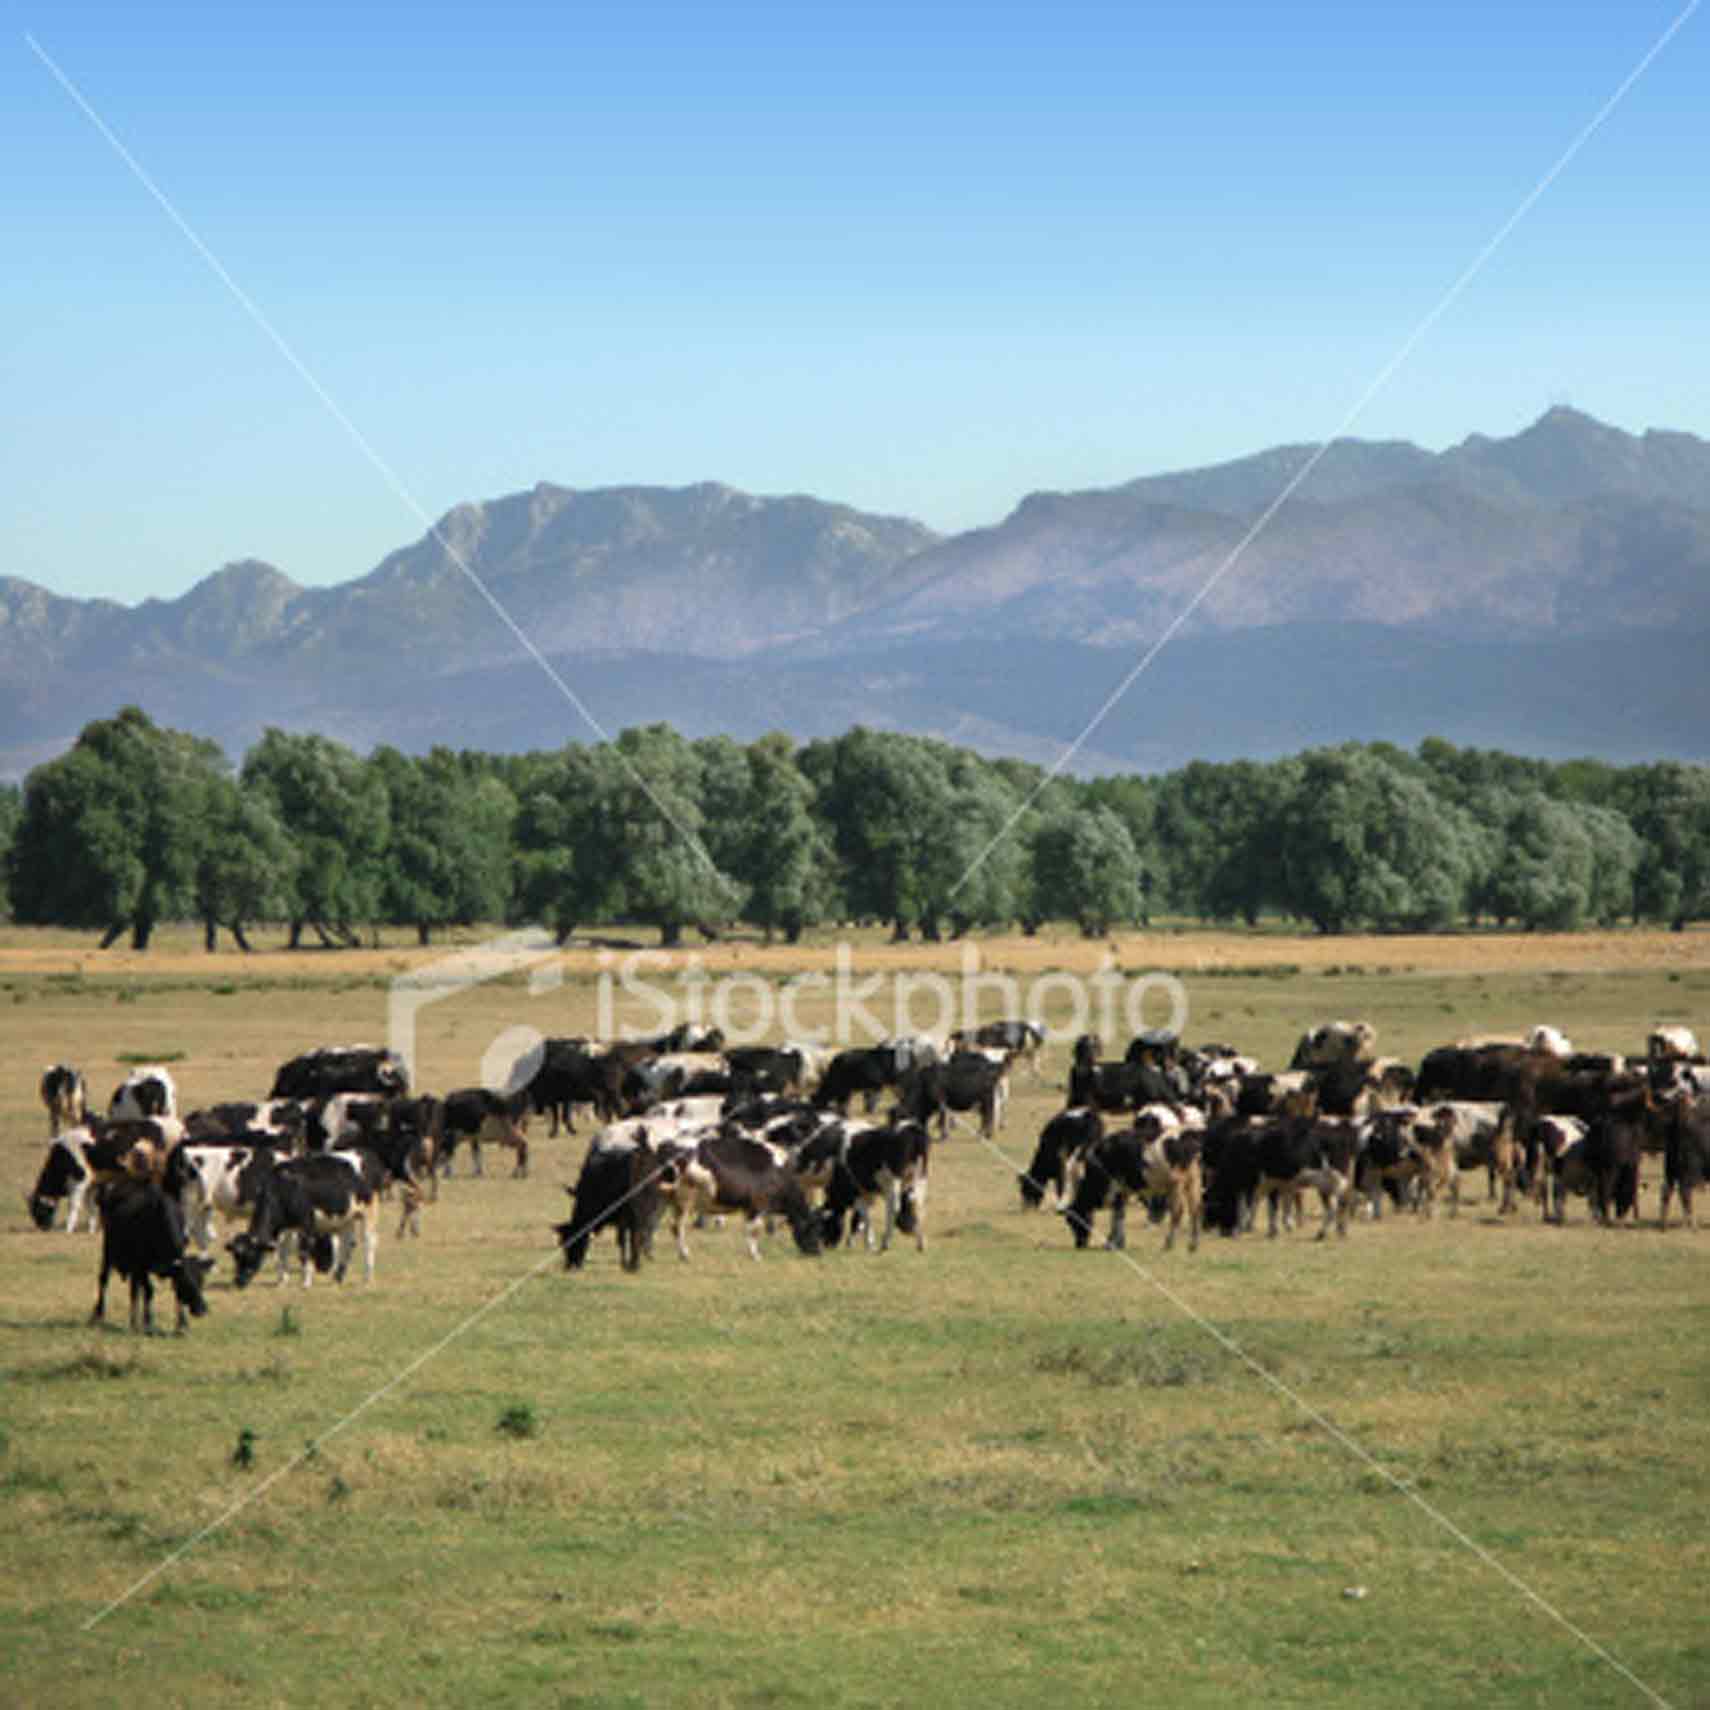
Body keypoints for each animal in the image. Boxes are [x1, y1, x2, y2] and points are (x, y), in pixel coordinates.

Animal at [89, 1178, 213, 1334]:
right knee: (104, 1279)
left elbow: (174, 1296)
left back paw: (133, 1322)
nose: (202, 1310)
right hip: (108, 1250)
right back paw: (99, 1314)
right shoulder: (142, 1265)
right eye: (187, 1282)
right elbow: (149, 1291)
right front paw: (149, 1323)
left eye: (201, 1281)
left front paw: (182, 1325)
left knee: (133, 1291)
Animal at [227, 1155, 378, 1288]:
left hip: (368, 1212)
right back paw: (338, 1277)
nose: (238, 1281)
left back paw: (367, 1278)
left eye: (251, 1255)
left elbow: (304, 1251)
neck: (283, 1186)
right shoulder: (286, 1227)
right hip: (346, 1218)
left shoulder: (306, 1223)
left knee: (368, 1243)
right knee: (347, 1244)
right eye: (235, 1257)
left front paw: (305, 1282)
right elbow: (282, 1252)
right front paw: (282, 1281)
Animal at [655, 1132, 822, 1261]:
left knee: (672, 1226)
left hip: (674, 1201)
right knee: (678, 1227)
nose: (817, 1252)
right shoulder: (758, 1204)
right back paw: (685, 1254)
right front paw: (756, 1256)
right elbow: (754, 1230)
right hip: (686, 1199)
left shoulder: (750, 1207)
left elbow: (751, 1229)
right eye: (813, 1228)